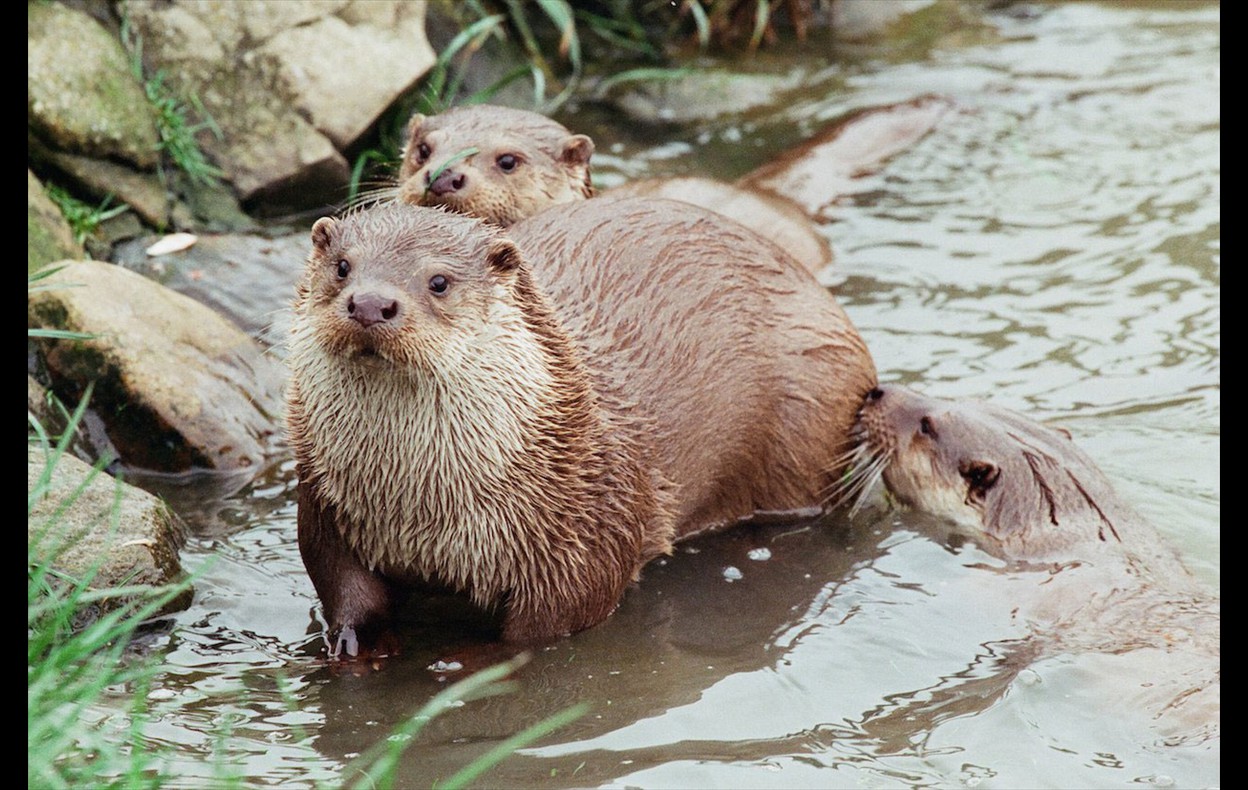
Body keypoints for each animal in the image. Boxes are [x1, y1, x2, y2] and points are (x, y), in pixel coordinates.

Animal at [287, 198, 877, 658]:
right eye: (342, 267)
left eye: (438, 281)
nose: (370, 303)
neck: (422, 507)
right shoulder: (326, 507)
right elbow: (343, 586)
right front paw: (355, 645)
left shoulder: (584, 536)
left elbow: (547, 627)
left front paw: (467, 661)